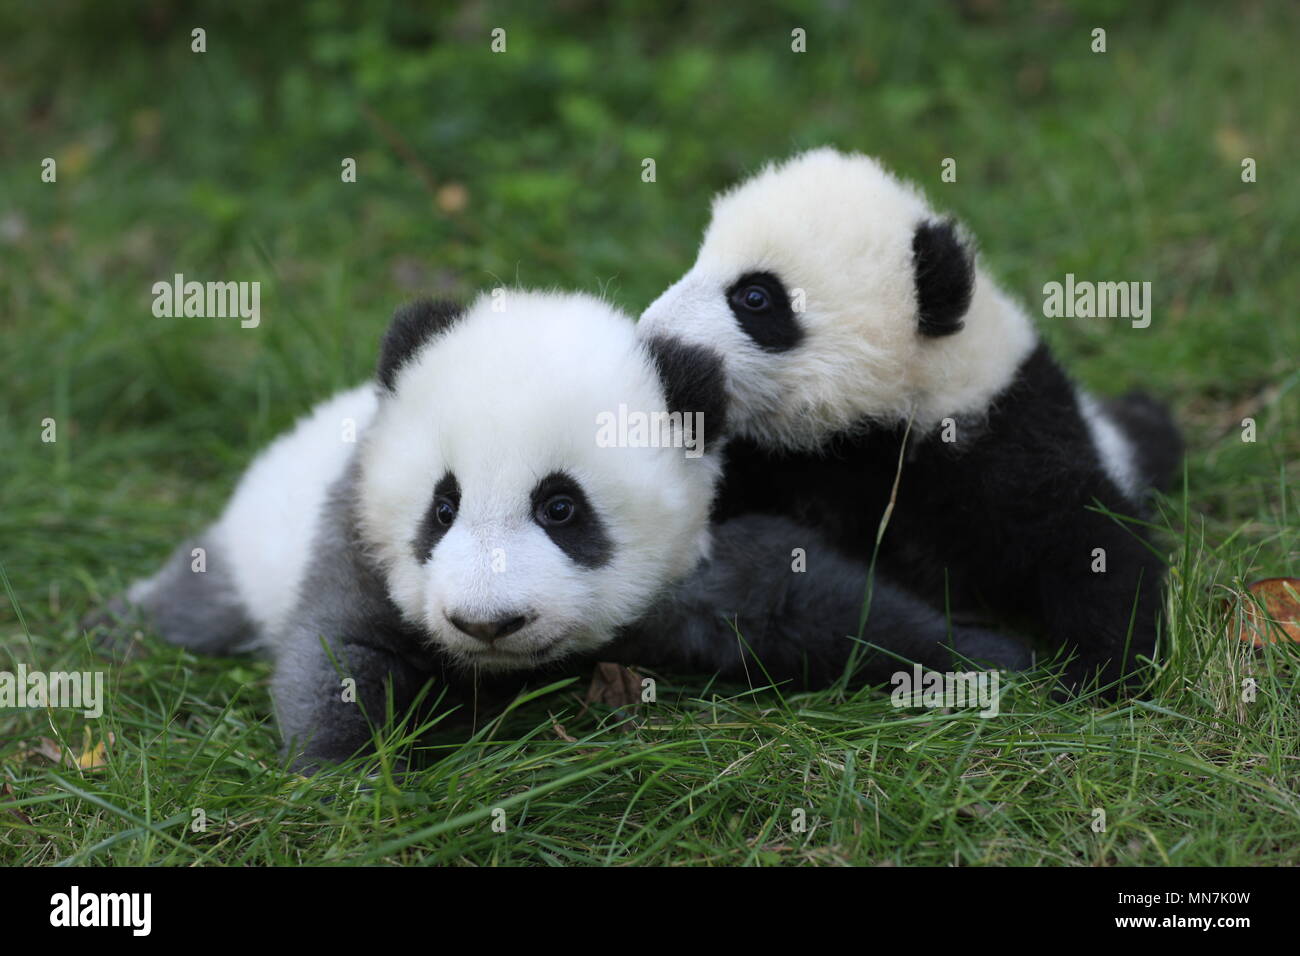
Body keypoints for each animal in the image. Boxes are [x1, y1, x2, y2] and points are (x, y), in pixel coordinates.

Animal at [112, 288, 1027, 770]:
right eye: (441, 507)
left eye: (562, 508)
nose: (488, 622)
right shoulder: (356, 537)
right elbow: (341, 655)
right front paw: (353, 773)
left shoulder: (700, 554)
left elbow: (818, 605)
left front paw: (990, 657)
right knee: (198, 600)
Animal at [637, 148, 1183, 694]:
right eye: (697, 261)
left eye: (755, 297)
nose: (655, 346)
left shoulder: (1001, 430)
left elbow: (1090, 538)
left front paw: (1101, 670)